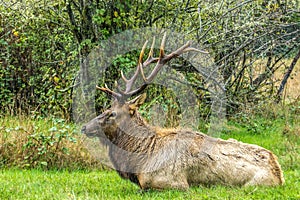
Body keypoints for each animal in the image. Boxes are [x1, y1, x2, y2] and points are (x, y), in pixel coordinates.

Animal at [81, 33, 284, 190]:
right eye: (106, 109)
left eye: (112, 114)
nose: (84, 127)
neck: (138, 162)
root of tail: (279, 174)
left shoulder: (170, 183)